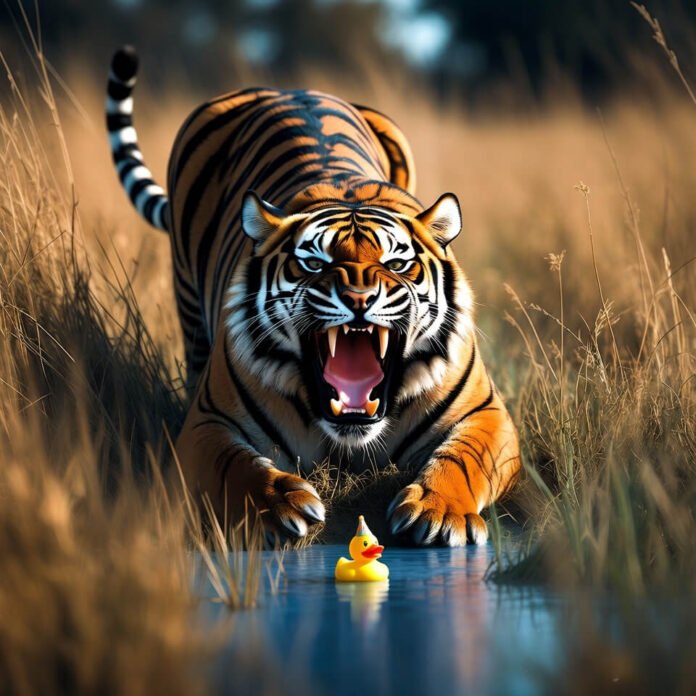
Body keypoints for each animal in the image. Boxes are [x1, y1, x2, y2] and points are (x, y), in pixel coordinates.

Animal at [106, 46, 520, 546]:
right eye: (314, 263)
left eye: (396, 263)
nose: (359, 296)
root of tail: (281, 87)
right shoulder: (207, 423)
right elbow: (235, 466)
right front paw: (277, 505)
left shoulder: (487, 413)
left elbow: (464, 459)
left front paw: (440, 512)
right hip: (187, 304)